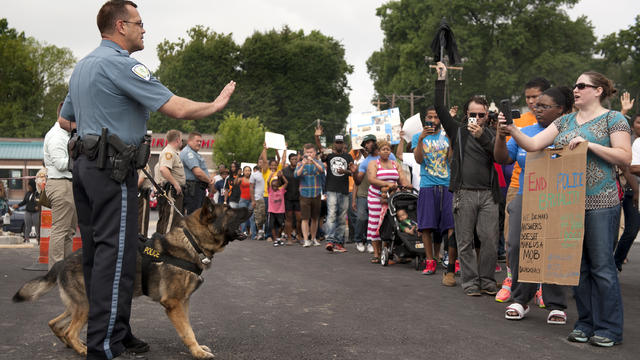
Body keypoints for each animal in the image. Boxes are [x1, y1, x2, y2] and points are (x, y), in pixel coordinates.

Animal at [13, 198, 250, 358]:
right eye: (229, 210)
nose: (249, 207)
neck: (192, 241)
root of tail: (62, 262)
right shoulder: (174, 304)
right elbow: (187, 330)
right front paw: (197, 352)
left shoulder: (184, 302)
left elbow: (188, 326)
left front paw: (198, 348)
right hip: (87, 305)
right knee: (70, 331)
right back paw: (82, 349)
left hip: (77, 304)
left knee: (55, 324)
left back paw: (75, 344)